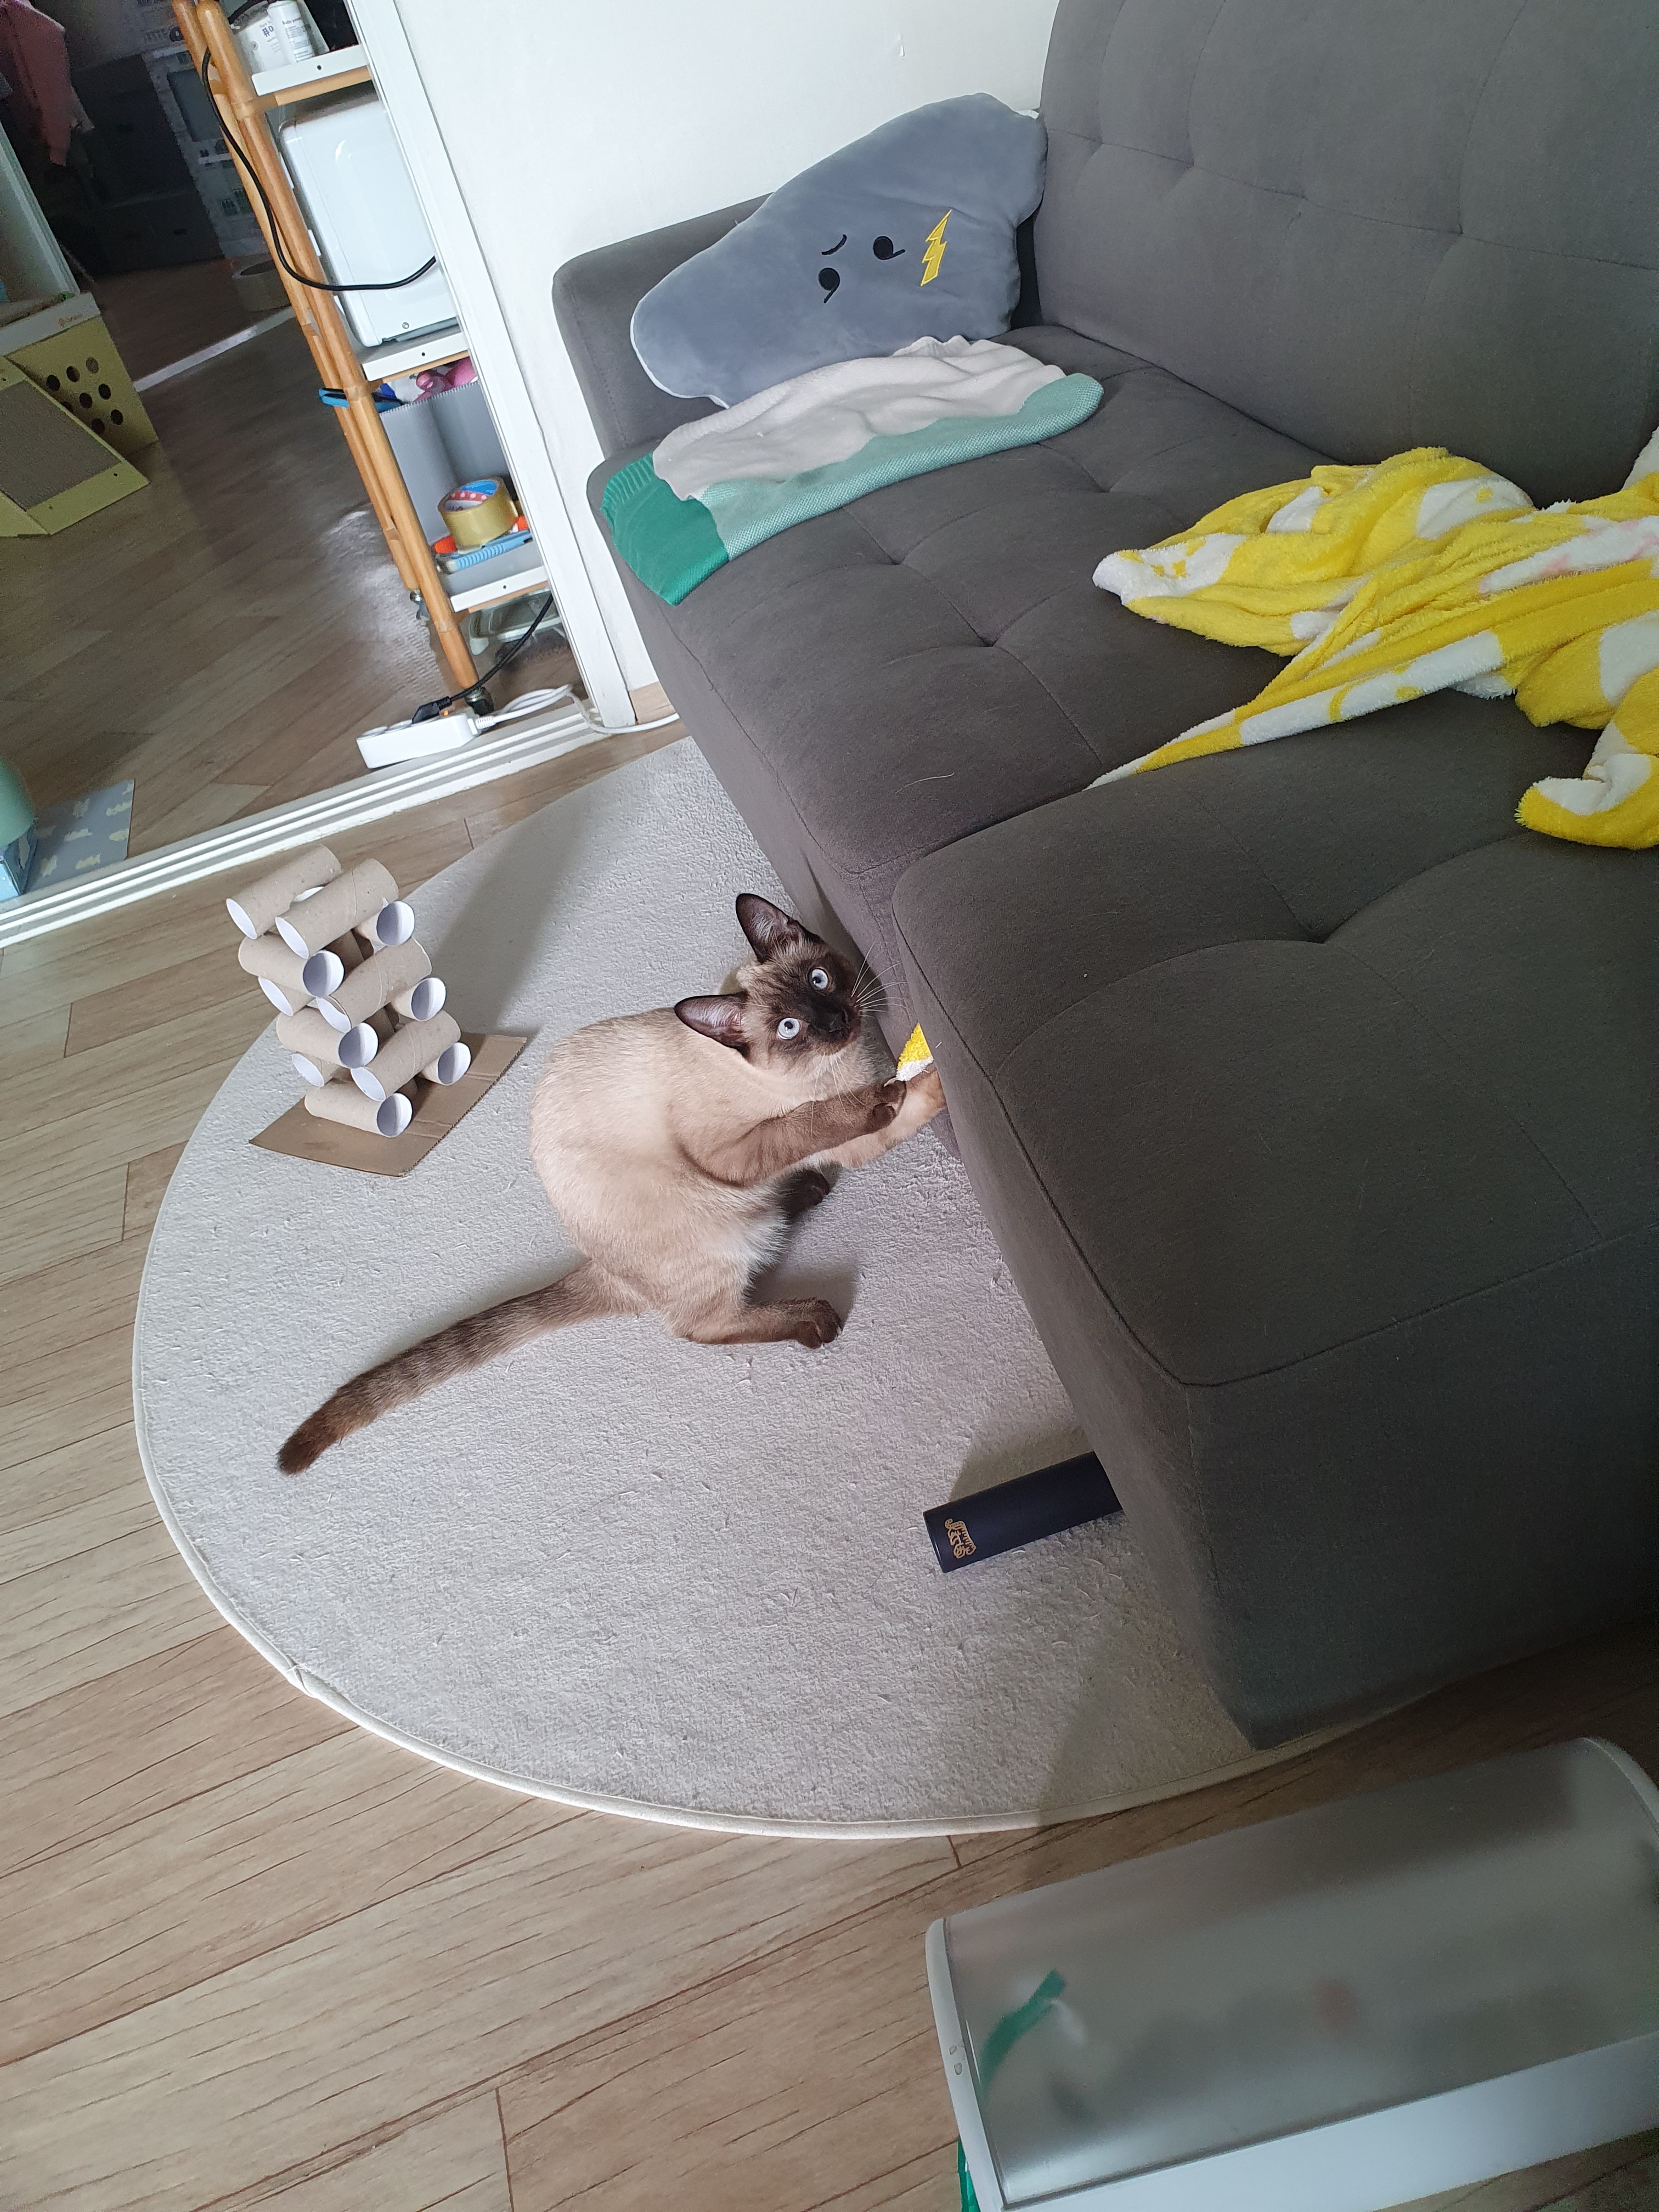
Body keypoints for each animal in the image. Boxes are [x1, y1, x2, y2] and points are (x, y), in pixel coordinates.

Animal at [277, 894, 945, 1473]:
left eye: (820, 981)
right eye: (788, 1028)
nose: (836, 1021)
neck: (840, 1070)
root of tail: (599, 1266)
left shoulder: (849, 1138)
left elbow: (901, 1103)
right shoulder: (735, 1153)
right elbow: (825, 1119)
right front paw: (901, 1087)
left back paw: (804, 1193)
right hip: (714, 1229)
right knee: (701, 1326)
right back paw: (815, 1316)